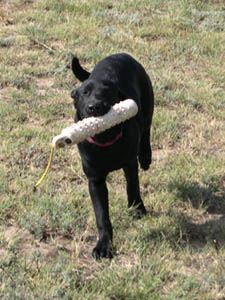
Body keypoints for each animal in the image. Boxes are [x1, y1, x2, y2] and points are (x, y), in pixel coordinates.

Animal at [71, 52, 154, 258]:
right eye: (85, 93)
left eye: (107, 93)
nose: (95, 106)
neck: (105, 142)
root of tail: (121, 54)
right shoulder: (95, 181)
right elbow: (102, 216)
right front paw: (103, 245)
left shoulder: (130, 164)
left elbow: (132, 188)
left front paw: (137, 209)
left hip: (148, 103)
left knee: (146, 129)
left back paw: (146, 157)